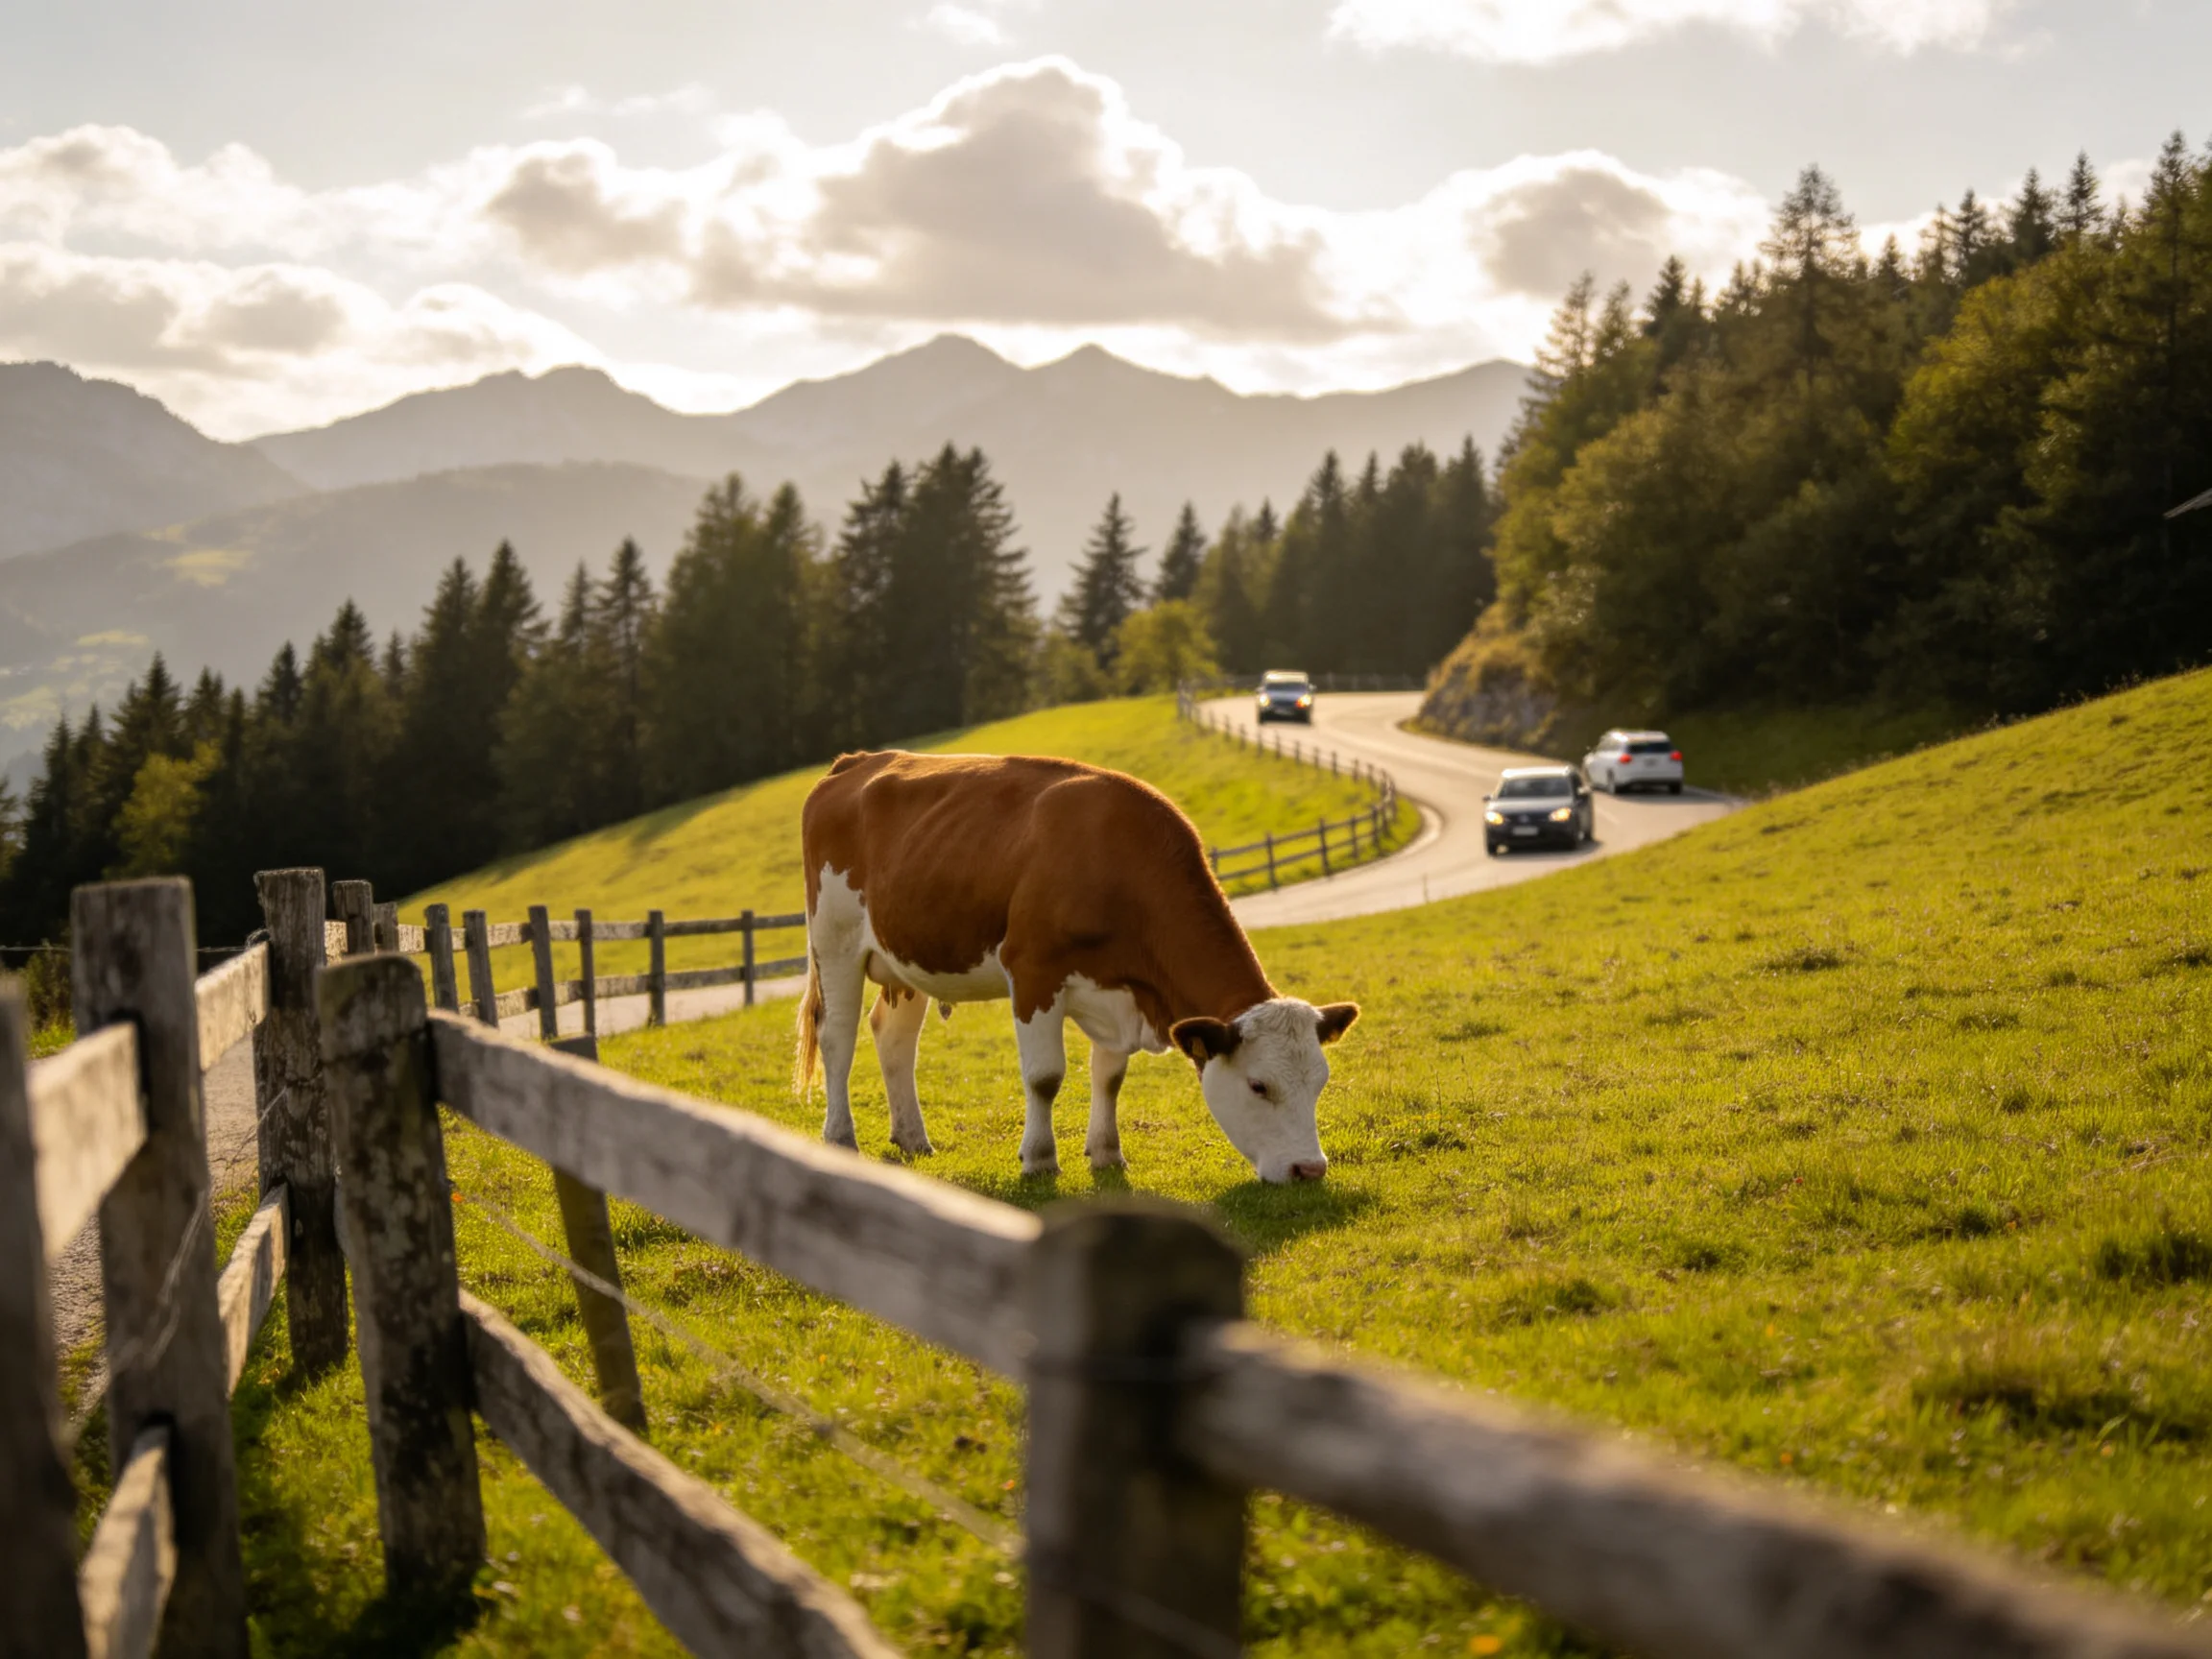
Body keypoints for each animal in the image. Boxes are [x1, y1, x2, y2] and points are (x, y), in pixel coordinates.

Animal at [794, 749, 1359, 1184]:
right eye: (1259, 1086)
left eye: (1321, 1082)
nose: (1310, 1169)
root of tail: (858, 761)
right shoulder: (1033, 973)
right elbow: (1045, 1077)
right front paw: (1039, 1160)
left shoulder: (1119, 988)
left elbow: (1109, 1077)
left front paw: (1107, 1154)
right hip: (835, 941)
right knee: (837, 1035)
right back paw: (840, 1138)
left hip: (905, 958)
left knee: (893, 1038)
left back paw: (912, 1137)